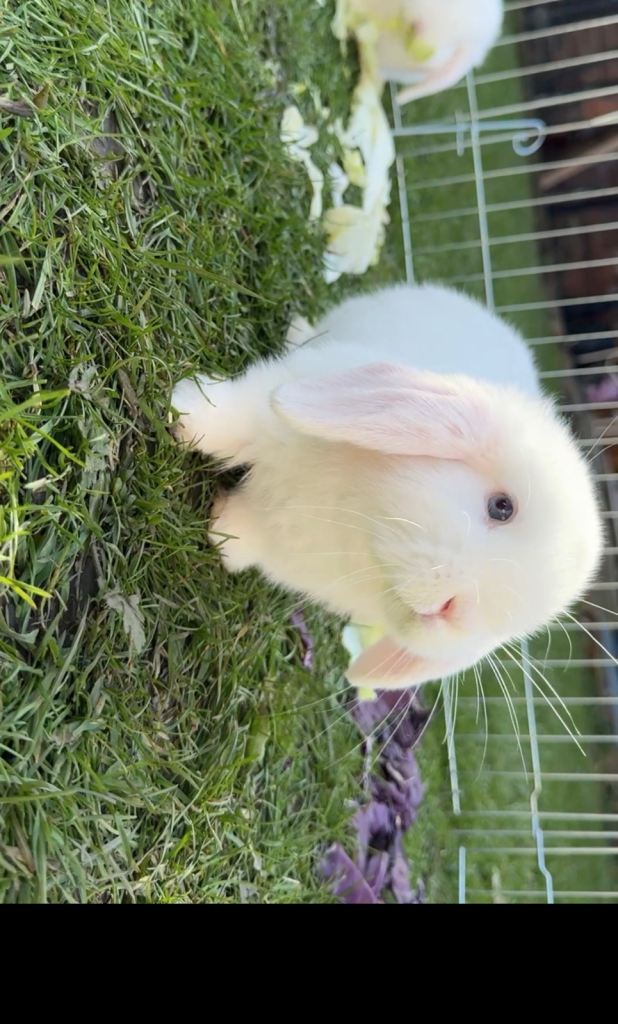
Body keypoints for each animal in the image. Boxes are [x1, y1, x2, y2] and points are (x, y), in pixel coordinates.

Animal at [171, 283, 603, 691]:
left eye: (503, 627)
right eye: (501, 506)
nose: (451, 612)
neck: (353, 523)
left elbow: (248, 538)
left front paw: (225, 535)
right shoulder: (274, 397)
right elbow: (234, 418)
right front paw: (183, 414)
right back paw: (298, 328)